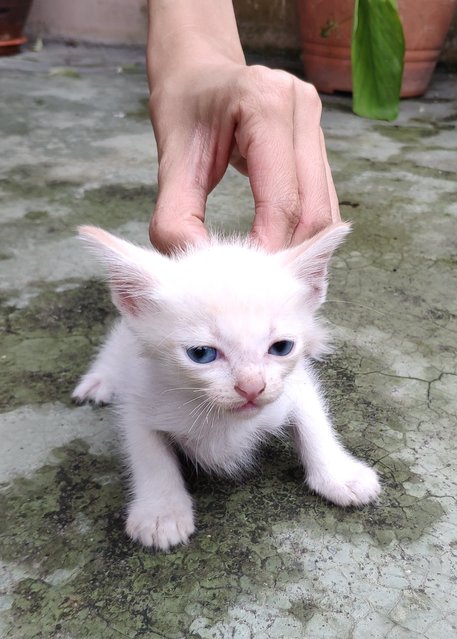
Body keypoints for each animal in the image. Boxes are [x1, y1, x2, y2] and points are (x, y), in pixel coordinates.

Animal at [73, 225, 380, 552]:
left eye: (281, 347)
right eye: (201, 354)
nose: (252, 387)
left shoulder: (294, 387)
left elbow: (314, 425)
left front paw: (340, 476)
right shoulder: (140, 393)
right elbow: (148, 453)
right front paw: (161, 513)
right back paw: (99, 380)